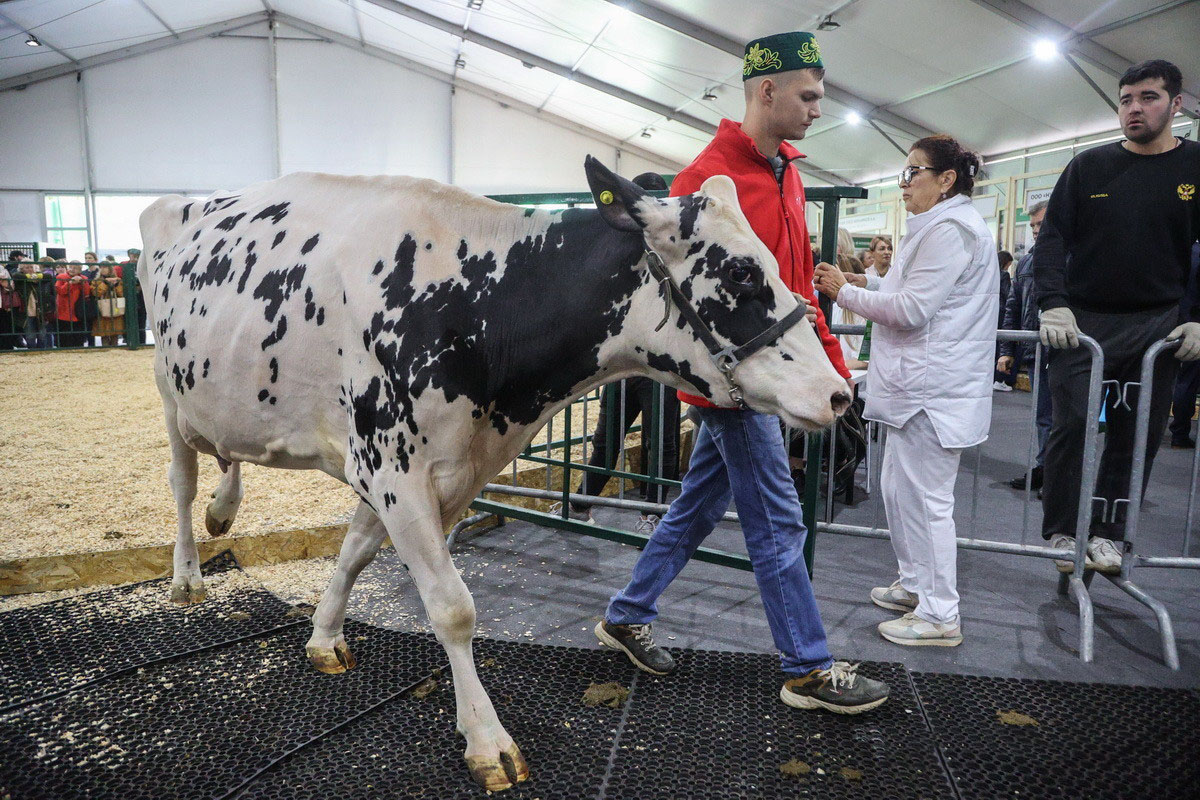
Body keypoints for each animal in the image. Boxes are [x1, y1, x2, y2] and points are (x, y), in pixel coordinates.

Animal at [140, 159, 849, 791]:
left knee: (226, 456)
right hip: (169, 395)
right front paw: (487, 740)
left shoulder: (439, 473)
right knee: (181, 484)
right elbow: (453, 607)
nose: (839, 394)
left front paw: (323, 636)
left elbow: (355, 551)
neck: (474, 305)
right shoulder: (393, 466)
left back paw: (224, 510)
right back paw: (187, 576)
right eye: (739, 271)